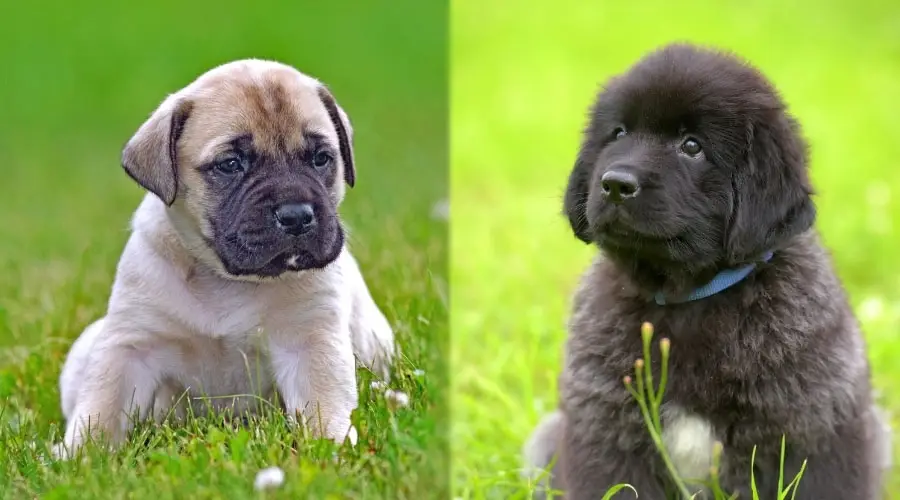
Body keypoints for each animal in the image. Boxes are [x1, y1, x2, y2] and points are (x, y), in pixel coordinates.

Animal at [524, 44, 888, 500]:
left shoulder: (816, 431)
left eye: (692, 146)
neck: (687, 298)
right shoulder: (607, 428)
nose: (615, 184)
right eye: (619, 133)